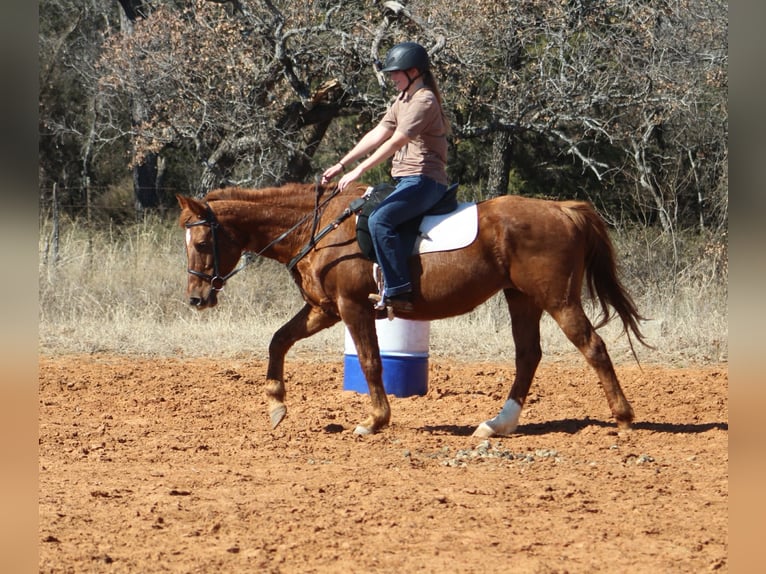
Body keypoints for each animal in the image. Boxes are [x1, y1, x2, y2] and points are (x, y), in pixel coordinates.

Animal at [177, 182, 649, 437]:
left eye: (201, 242)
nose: (197, 299)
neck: (319, 226)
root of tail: (562, 210)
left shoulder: (351, 307)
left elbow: (371, 361)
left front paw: (375, 420)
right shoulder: (324, 309)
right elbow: (279, 341)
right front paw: (276, 405)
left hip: (557, 300)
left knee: (593, 347)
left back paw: (624, 419)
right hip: (522, 299)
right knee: (528, 356)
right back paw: (497, 425)